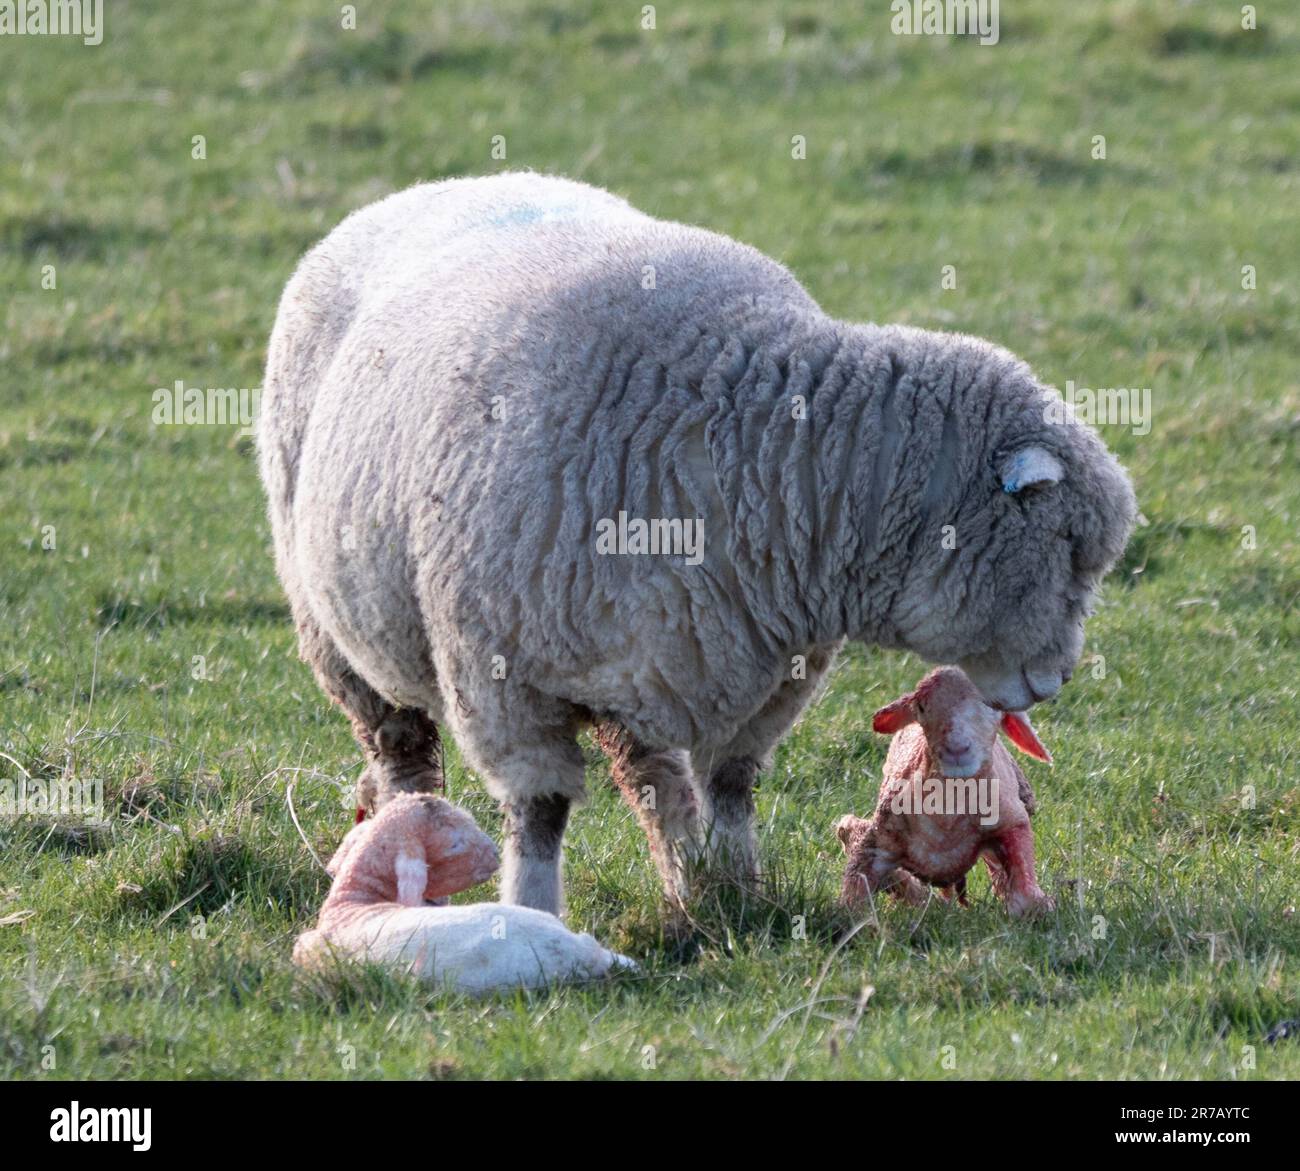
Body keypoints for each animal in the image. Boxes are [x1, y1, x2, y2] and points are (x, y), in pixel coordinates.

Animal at [832, 662, 1055, 920]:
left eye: (992, 704)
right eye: (921, 706)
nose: (956, 748)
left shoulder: (1012, 821)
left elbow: (1027, 899)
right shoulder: (877, 841)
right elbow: (853, 900)